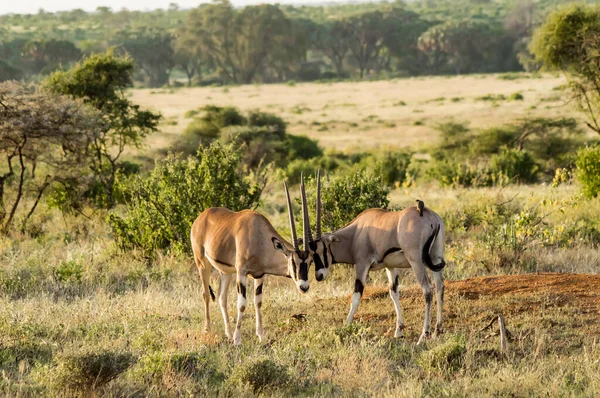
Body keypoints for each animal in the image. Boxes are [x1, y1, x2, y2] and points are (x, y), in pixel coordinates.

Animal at [191, 181, 314, 346]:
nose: (304, 287)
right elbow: (242, 304)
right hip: (202, 264)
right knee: (205, 294)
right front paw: (237, 340)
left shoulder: (259, 275)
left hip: (226, 272)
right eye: (293, 261)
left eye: (310, 261)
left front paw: (261, 336)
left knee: (222, 297)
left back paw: (228, 333)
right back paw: (208, 330)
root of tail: (201, 217)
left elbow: (258, 302)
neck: (259, 236)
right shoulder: (242, 273)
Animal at [308, 171, 442, 346]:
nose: (319, 276)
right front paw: (399, 330)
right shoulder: (390, 266)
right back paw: (437, 330)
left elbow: (356, 296)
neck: (356, 233)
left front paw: (345, 327)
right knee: (440, 287)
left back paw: (424, 335)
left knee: (427, 290)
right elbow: (393, 291)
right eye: (311, 253)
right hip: (436, 257)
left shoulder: (362, 265)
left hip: (416, 262)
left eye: (321, 249)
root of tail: (423, 211)